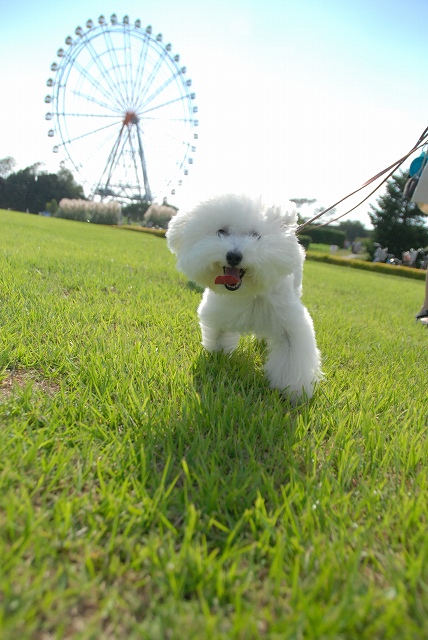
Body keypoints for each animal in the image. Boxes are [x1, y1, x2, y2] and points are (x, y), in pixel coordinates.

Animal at [166, 192, 320, 400]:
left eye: (255, 236)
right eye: (221, 232)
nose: (233, 256)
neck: (247, 291)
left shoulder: (290, 326)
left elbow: (292, 360)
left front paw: (294, 392)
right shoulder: (219, 315)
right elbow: (219, 339)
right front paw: (218, 359)